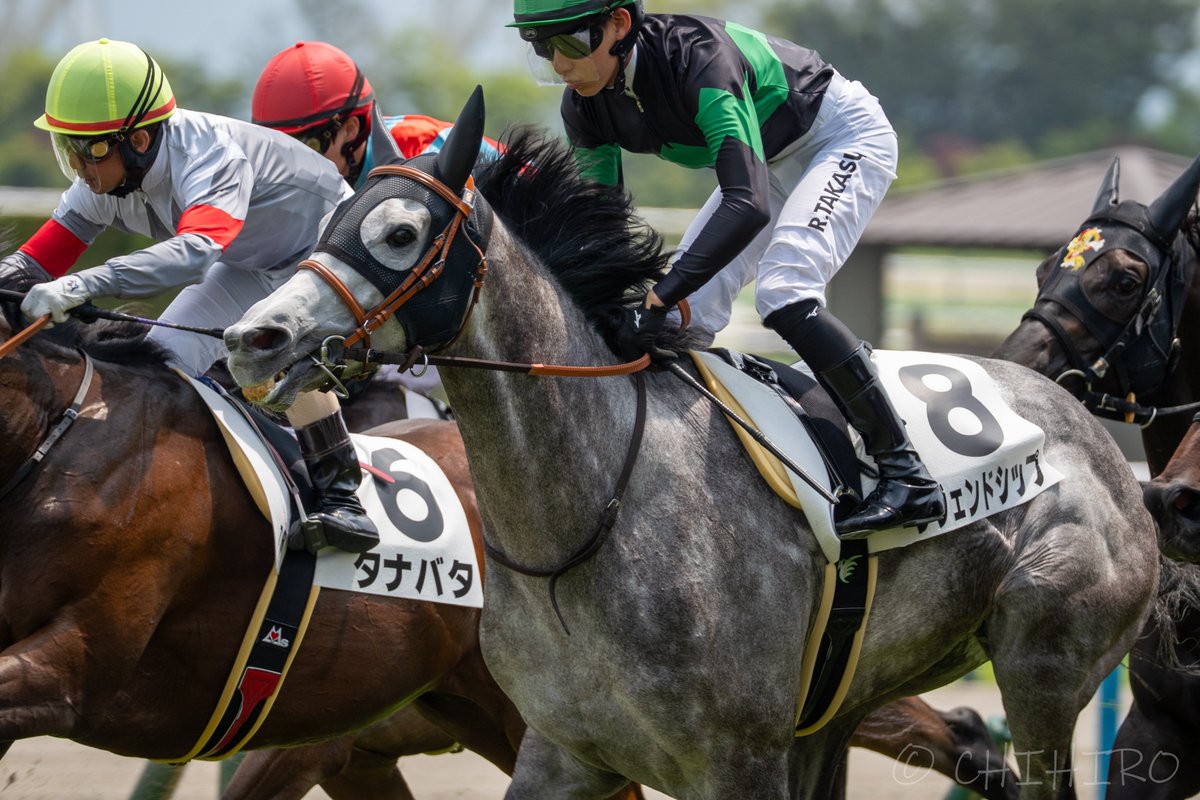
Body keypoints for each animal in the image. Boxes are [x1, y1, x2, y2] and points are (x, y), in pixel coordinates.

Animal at [223, 88, 1158, 799]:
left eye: (399, 235)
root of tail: (1094, 435)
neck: (590, 517)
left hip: (1043, 667)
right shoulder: (561, 753)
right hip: (845, 705)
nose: (254, 339)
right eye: (332, 214)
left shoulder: (737, 761)